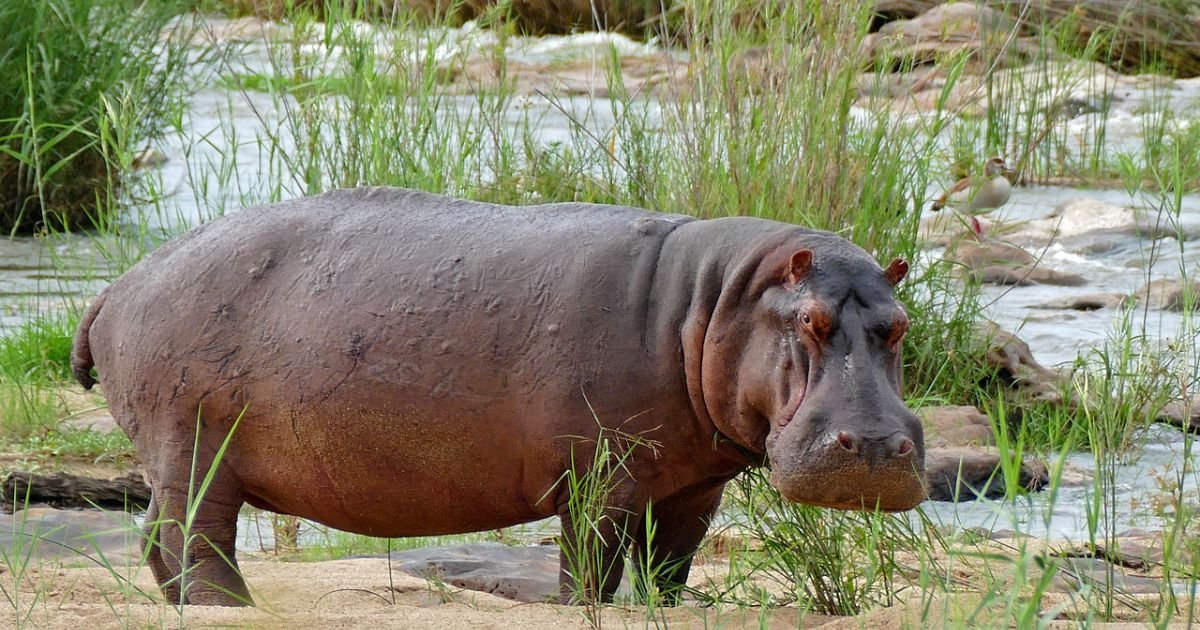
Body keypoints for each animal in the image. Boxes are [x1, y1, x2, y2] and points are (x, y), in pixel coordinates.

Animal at [71, 187, 925, 606]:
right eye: (811, 321)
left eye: (900, 325)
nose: (878, 446)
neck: (713, 302)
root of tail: (122, 282)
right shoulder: (599, 473)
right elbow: (591, 565)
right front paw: (580, 608)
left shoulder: (694, 485)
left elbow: (670, 567)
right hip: (194, 441)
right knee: (194, 538)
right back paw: (233, 608)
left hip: (177, 451)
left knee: (160, 538)